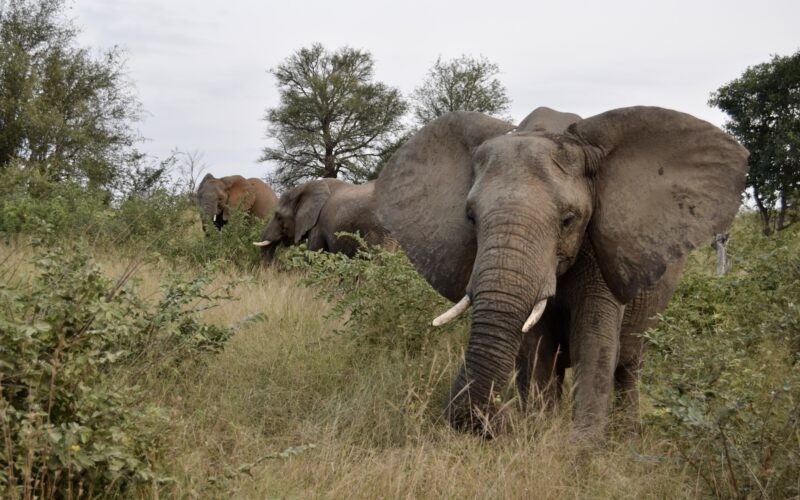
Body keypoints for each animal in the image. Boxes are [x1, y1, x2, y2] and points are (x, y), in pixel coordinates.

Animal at [375, 106, 749, 442]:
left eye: (569, 220)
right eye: (470, 217)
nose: (502, 416)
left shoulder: (600, 248)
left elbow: (594, 339)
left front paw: (581, 450)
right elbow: (537, 347)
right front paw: (538, 431)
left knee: (630, 364)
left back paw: (628, 438)